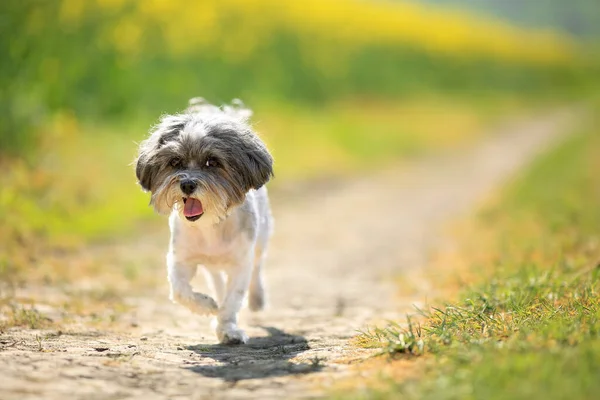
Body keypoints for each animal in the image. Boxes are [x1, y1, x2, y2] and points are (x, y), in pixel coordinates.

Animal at [135, 97, 274, 344]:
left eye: (212, 162)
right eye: (175, 161)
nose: (187, 184)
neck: (210, 224)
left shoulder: (240, 264)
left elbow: (233, 299)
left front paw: (228, 329)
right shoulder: (180, 259)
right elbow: (180, 290)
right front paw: (208, 306)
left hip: (262, 238)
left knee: (257, 268)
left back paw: (257, 299)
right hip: (212, 267)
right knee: (217, 283)